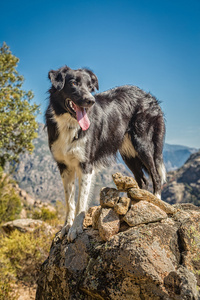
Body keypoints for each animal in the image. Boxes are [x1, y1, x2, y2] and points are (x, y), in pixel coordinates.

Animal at [45, 65, 166, 241]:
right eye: (73, 83)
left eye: (90, 86)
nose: (91, 101)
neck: (69, 123)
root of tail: (150, 97)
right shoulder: (64, 166)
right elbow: (70, 202)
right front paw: (66, 227)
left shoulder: (86, 166)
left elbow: (81, 202)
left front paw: (75, 229)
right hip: (128, 153)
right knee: (142, 180)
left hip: (143, 144)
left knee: (156, 176)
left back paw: (156, 201)